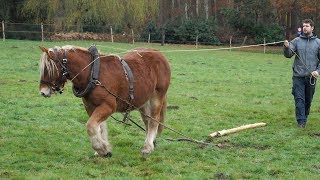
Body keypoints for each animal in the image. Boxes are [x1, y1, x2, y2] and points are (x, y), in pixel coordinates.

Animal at [39, 45, 171, 158]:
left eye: (49, 68)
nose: (43, 92)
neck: (92, 73)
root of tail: (159, 54)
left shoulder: (108, 106)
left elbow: (91, 126)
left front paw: (101, 148)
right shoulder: (90, 107)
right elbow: (99, 127)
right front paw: (103, 149)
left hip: (157, 96)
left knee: (154, 120)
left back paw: (147, 147)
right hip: (143, 100)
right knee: (147, 120)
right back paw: (152, 142)